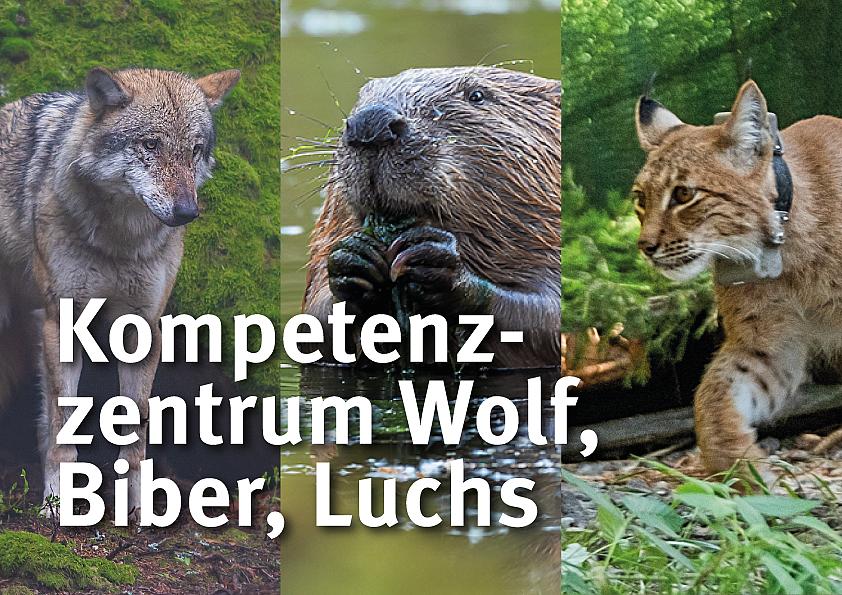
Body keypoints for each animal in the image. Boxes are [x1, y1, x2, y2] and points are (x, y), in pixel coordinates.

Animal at [0, 67, 240, 516]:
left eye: (194, 151)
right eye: (151, 145)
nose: (187, 213)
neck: (120, 242)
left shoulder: (143, 327)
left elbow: (136, 432)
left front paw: (139, 508)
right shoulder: (63, 323)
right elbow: (64, 427)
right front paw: (56, 504)